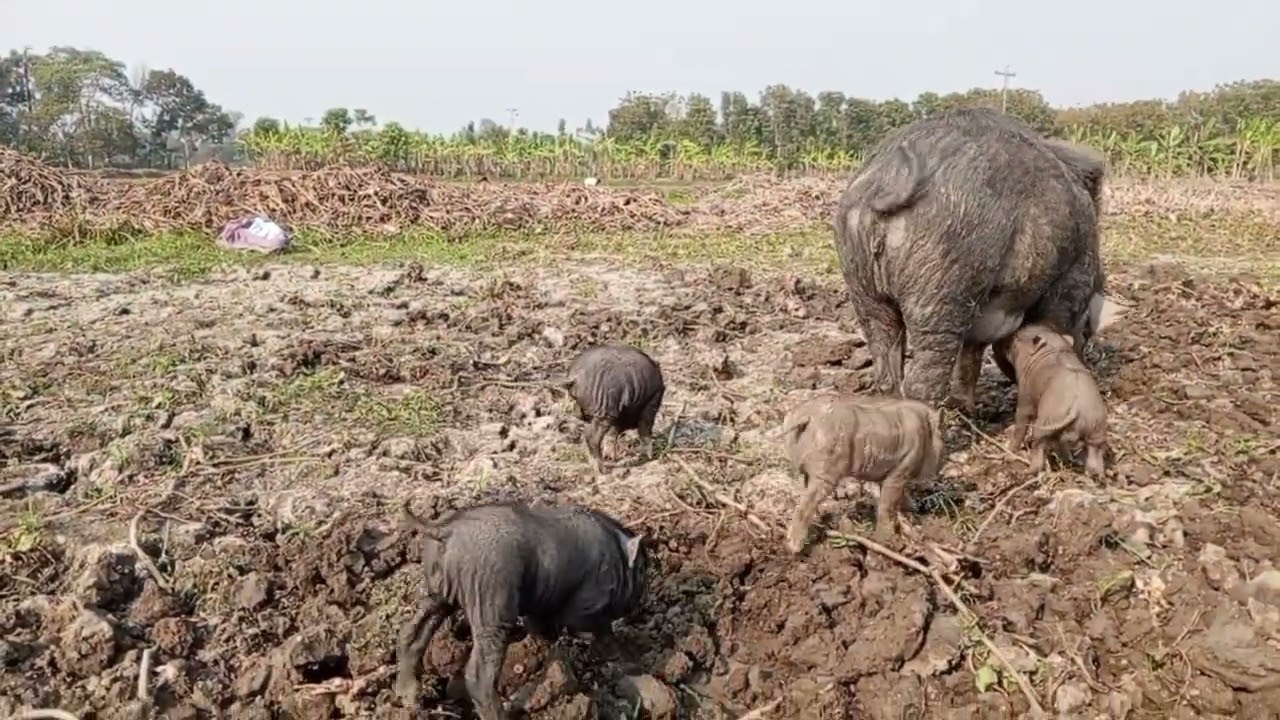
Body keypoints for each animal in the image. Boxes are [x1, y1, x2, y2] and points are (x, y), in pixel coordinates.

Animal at [394, 500, 648, 720]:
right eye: (643, 570)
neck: (618, 558)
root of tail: (445, 530)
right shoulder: (587, 608)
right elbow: (603, 633)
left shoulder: (541, 608)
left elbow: (542, 631)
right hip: (492, 604)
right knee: (478, 675)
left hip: (438, 593)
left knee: (411, 633)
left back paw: (409, 697)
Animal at [780, 393, 944, 553]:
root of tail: (806, 417)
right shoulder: (900, 472)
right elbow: (887, 504)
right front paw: (888, 541)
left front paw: (911, 511)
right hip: (826, 469)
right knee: (807, 504)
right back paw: (794, 548)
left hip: (807, 470)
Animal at [833, 107, 1129, 414]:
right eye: (1088, 325)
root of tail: (890, 178)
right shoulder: (1069, 282)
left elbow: (972, 354)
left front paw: (966, 406)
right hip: (942, 281)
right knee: (923, 377)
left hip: (862, 285)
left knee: (885, 359)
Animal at [995, 323, 1109, 477]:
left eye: (1016, 338)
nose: (1008, 336)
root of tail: (1076, 409)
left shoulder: (1025, 398)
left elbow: (1020, 425)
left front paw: (1008, 453)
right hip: (1096, 430)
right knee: (1093, 457)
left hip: (1045, 424)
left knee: (1039, 452)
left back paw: (1026, 471)